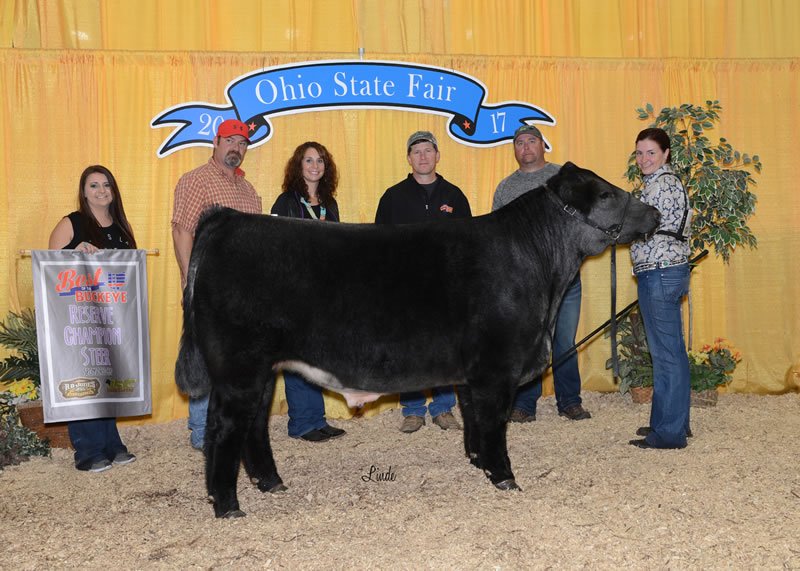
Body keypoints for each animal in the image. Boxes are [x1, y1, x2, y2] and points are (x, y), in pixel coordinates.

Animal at [176, 162, 660, 518]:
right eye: (606, 194)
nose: (655, 214)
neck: (539, 265)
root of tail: (226, 218)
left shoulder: (472, 374)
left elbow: (473, 420)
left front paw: (478, 463)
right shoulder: (496, 368)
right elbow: (494, 424)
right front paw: (505, 476)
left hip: (261, 370)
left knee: (254, 426)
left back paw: (271, 484)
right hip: (239, 368)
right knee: (225, 428)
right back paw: (227, 505)